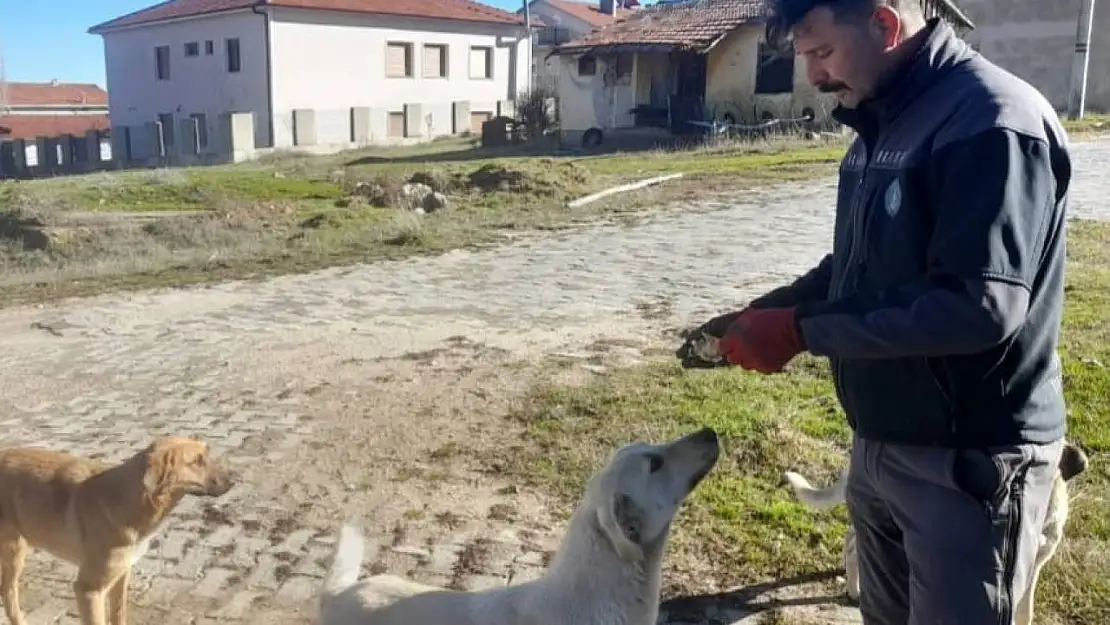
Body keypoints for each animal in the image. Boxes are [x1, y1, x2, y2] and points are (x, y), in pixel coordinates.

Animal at [0, 435, 234, 625]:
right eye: (196, 462)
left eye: (207, 455)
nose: (232, 482)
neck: (134, 503)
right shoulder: (88, 590)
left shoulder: (122, 574)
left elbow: (119, 613)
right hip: (14, 553)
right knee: (9, 595)